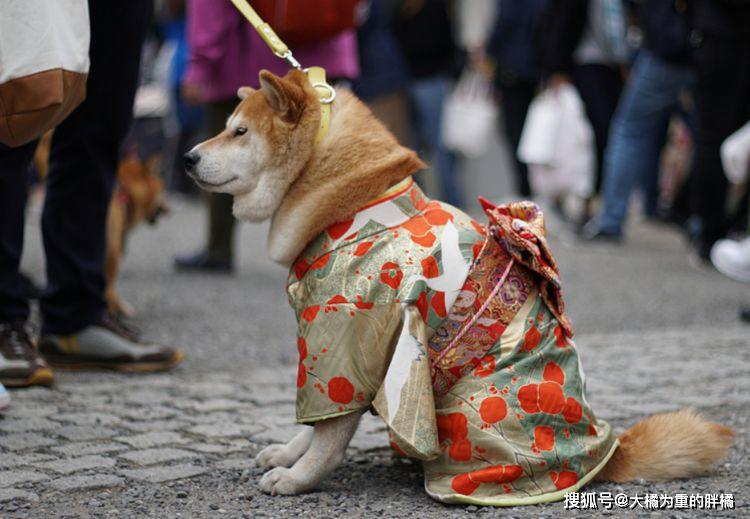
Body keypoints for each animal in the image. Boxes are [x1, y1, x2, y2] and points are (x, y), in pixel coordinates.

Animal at [187, 70, 736, 508]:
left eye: (239, 131)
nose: (188, 157)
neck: (354, 206)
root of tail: (606, 453)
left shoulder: (347, 333)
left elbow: (328, 433)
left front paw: (297, 478)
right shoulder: (331, 352)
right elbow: (317, 422)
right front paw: (287, 453)